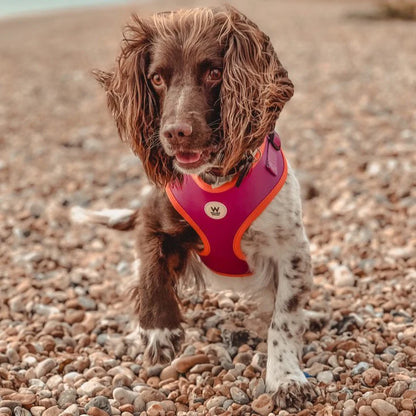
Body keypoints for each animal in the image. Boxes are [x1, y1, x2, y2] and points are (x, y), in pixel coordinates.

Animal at [73, 6, 316, 410]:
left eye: (214, 72)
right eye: (156, 78)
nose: (175, 132)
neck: (217, 179)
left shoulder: (292, 250)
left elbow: (283, 319)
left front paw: (285, 377)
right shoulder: (154, 218)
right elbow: (152, 272)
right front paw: (159, 330)